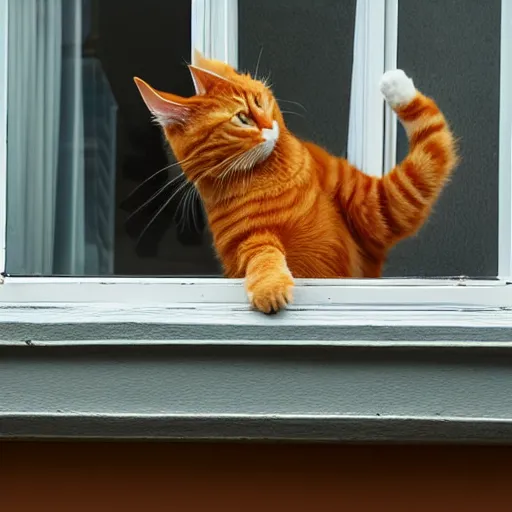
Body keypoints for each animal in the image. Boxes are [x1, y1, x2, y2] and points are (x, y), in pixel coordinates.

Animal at [134, 51, 458, 312]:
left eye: (259, 101)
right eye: (241, 119)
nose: (269, 126)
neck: (271, 178)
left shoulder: (389, 201)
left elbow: (430, 132)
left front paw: (398, 87)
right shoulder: (246, 241)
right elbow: (262, 256)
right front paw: (269, 286)